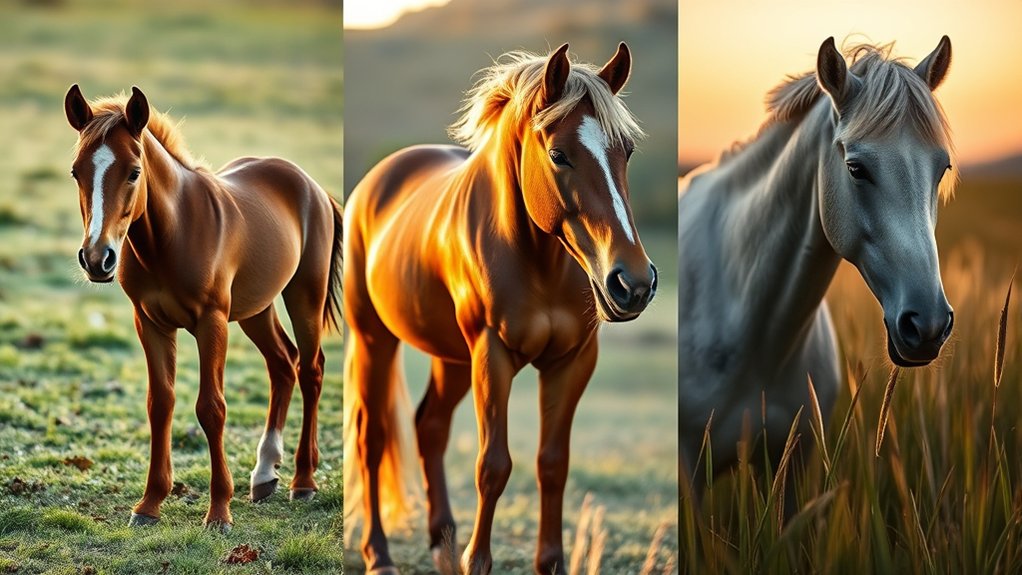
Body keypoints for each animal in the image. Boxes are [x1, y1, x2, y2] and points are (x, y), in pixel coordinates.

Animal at [64, 85, 342, 532]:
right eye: (76, 172)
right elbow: (160, 404)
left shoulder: (212, 323)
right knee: (283, 363)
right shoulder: (150, 324)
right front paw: (149, 504)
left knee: (311, 368)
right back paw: (264, 473)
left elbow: (211, 408)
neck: (170, 235)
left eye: (134, 172)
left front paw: (219, 512)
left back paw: (303, 480)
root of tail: (310, 185)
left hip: (305, 295)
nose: (96, 258)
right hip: (256, 308)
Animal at [343, 42, 656, 574]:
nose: (633, 284)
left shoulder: (571, 363)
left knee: (429, 426)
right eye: (559, 154)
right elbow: (493, 465)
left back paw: (441, 541)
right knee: (373, 438)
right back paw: (379, 554)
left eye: (626, 151)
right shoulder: (493, 355)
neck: (537, 261)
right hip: (375, 340)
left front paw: (549, 563)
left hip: (450, 358)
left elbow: (552, 464)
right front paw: (476, 560)